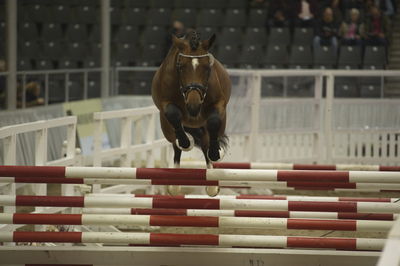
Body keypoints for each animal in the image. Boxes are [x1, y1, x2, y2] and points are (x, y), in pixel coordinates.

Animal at [152, 30, 231, 195]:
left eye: (207, 68)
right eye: (181, 67)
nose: (194, 106)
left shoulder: (219, 104)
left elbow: (213, 123)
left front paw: (215, 153)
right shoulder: (165, 104)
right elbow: (174, 115)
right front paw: (186, 142)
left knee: (207, 141)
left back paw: (212, 185)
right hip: (166, 127)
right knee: (176, 145)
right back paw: (175, 185)